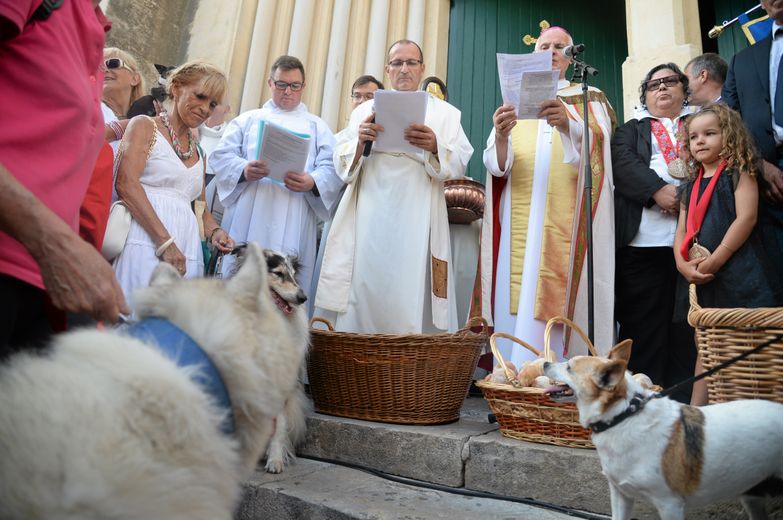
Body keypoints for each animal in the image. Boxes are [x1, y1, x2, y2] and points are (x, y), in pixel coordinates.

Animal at [544, 342, 783, 520]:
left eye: (569, 367)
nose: (545, 362)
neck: (624, 416)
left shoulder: (670, 505)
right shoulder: (621, 496)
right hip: (753, 495)